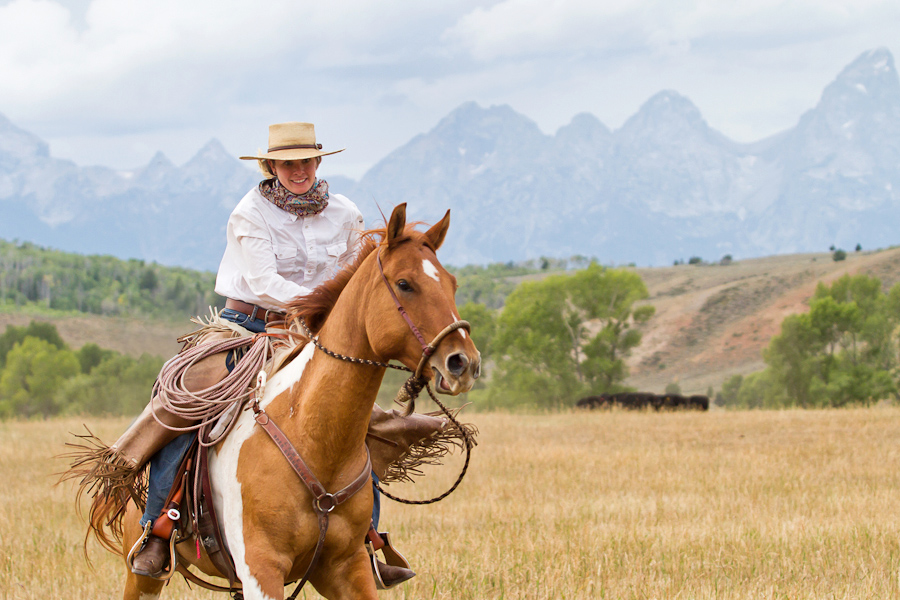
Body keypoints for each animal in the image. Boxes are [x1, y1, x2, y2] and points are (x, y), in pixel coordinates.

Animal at [90, 204, 482, 596]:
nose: (464, 362)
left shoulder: (347, 568)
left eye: (452, 284)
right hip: (141, 576)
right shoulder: (261, 568)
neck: (313, 436)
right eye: (404, 284)